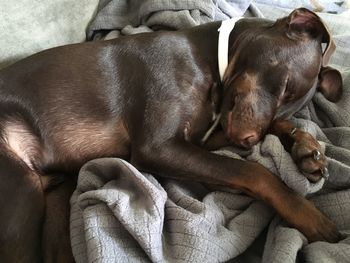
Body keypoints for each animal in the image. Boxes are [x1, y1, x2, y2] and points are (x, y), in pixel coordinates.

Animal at [0, 7, 344, 262]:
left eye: (288, 105)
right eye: (284, 85)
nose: (249, 141)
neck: (210, 58)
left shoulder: (204, 137)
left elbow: (270, 135)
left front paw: (307, 149)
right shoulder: (159, 147)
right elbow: (253, 172)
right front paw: (309, 214)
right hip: (21, 196)